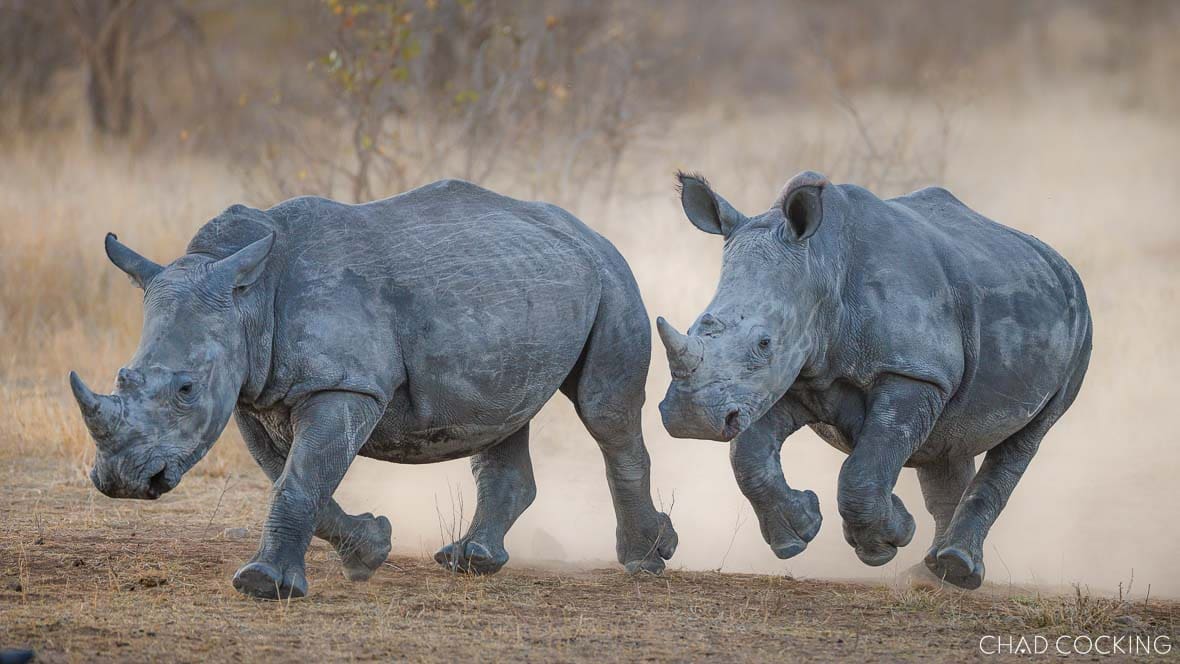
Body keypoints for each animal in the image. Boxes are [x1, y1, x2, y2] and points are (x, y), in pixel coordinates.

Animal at [69, 179, 677, 599]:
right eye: (124, 376)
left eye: (186, 390)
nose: (122, 481)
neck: (247, 298)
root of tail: (588, 230)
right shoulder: (251, 393)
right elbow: (292, 477)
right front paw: (371, 549)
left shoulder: (345, 385)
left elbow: (299, 479)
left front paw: (263, 586)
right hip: (521, 288)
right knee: (502, 417)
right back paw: (471, 560)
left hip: (612, 277)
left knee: (605, 412)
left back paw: (647, 559)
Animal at [656, 171, 1091, 589]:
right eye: (694, 326)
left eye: (764, 343)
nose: (691, 419)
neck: (821, 263)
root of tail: (1061, 263)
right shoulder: (795, 376)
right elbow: (747, 455)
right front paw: (799, 534)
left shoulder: (914, 372)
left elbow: (864, 469)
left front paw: (884, 543)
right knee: (948, 443)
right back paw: (932, 575)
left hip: (1078, 327)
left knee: (1026, 438)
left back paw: (957, 568)